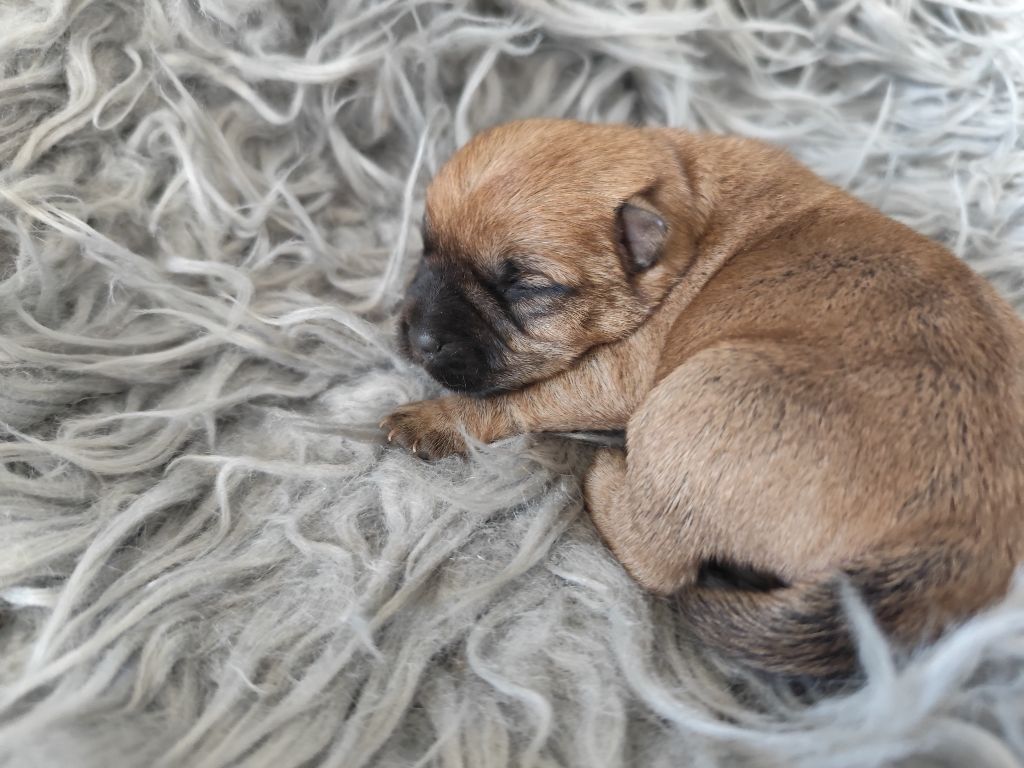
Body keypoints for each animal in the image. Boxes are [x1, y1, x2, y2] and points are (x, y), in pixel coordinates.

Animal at [380, 118, 1024, 680]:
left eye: (527, 288)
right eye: (425, 247)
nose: (418, 337)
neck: (685, 197)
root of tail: (957, 546)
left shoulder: (620, 375)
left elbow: (517, 400)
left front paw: (430, 421)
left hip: (689, 401)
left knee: (659, 555)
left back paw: (601, 472)